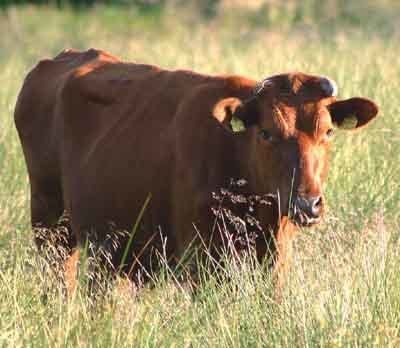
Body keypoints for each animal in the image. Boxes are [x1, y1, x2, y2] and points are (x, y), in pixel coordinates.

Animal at [14, 48, 380, 294]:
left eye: (328, 131)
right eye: (266, 133)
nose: (307, 204)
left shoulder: (276, 260)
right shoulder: (200, 259)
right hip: (51, 226)